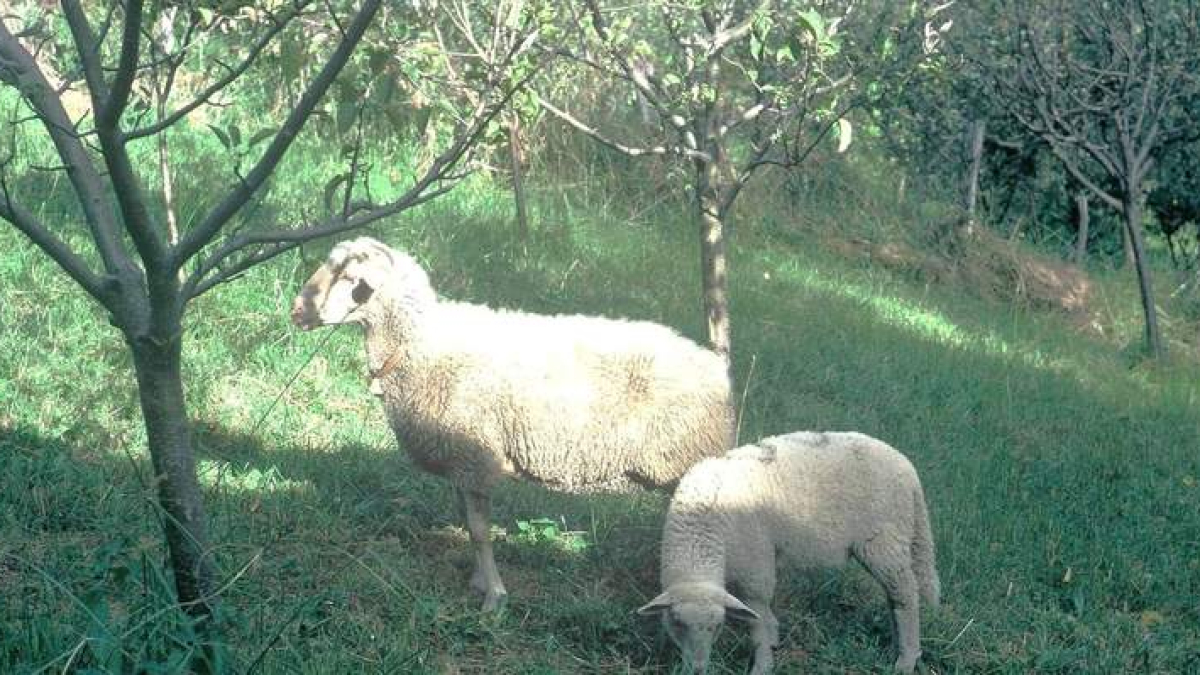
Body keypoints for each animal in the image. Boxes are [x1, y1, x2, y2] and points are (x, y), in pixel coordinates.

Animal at [290, 237, 734, 611]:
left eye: (349, 278)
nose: (296, 311)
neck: (419, 344)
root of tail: (716, 368)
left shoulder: (476, 458)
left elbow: (480, 530)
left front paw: (493, 598)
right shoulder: (461, 460)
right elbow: (468, 524)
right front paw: (477, 582)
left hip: (688, 461)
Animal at [638, 431, 939, 674]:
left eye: (718, 626)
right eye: (676, 623)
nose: (697, 669)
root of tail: (907, 469)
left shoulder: (756, 570)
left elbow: (760, 622)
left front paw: (763, 663)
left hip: (882, 541)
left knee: (906, 595)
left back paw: (906, 660)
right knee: (895, 596)